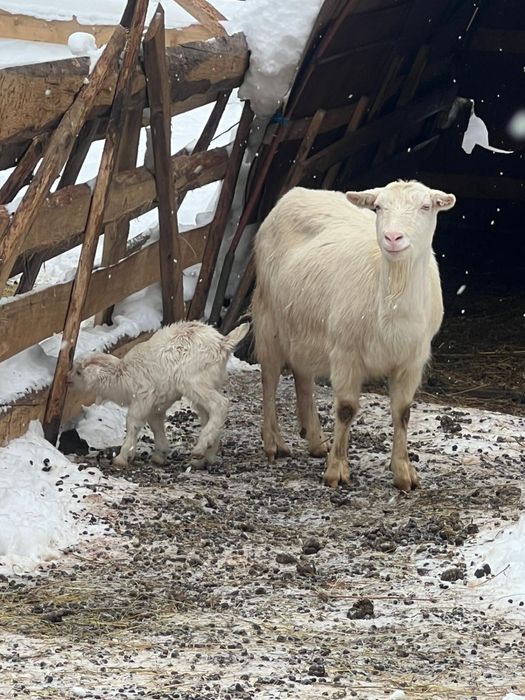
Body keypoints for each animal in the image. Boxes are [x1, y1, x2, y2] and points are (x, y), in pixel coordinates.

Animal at [69, 321, 250, 467]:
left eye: (79, 372)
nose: (68, 379)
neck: (124, 376)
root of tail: (222, 344)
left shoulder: (143, 397)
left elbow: (133, 424)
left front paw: (122, 457)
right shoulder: (156, 405)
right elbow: (156, 426)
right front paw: (160, 455)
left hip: (194, 381)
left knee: (220, 404)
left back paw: (200, 449)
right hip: (209, 383)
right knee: (209, 414)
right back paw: (204, 458)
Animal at [252, 180, 455, 491]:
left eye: (425, 206)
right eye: (379, 207)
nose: (393, 237)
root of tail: (297, 192)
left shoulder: (411, 360)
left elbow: (403, 412)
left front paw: (404, 472)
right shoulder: (345, 352)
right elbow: (346, 409)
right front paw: (336, 470)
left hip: (303, 326)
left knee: (303, 376)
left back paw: (315, 441)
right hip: (269, 320)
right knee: (269, 379)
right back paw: (273, 442)